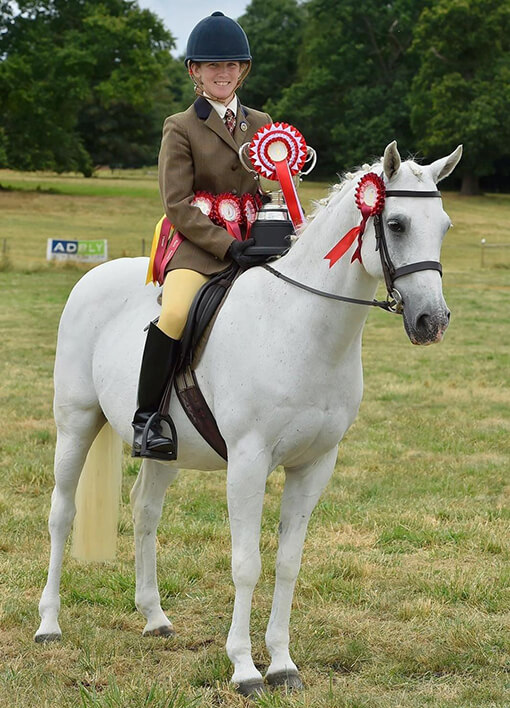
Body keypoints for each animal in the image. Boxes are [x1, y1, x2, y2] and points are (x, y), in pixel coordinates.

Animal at [33, 142, 460, 696]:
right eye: (397, 223)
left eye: (444, 225)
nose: (433, 321)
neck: (300, 326)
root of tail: (93, 275)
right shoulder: (248, 462)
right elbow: (246, 564)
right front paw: (245, 668)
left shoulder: (315, 465)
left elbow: (288, 562)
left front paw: (282, 663)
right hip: (76, 423)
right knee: (61, 513)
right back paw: (49, 624)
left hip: (166, 449)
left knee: (145, 510)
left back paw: (154, 618)